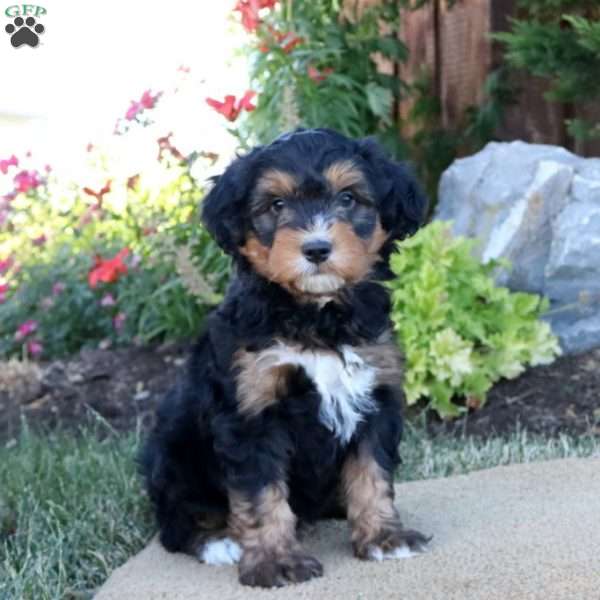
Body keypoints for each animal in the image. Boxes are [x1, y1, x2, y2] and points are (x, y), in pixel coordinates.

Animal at [141, 129, 428, 588]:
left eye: (348, 198)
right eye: (276, 205)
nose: (317, 249)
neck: (316, 317)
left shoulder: (376, 393)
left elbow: (372, 472)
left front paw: (384, 537)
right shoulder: (251, 412)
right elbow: (261, 496)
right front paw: (275, 562)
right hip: (172, 449)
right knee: (175, 519)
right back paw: (217, 541)